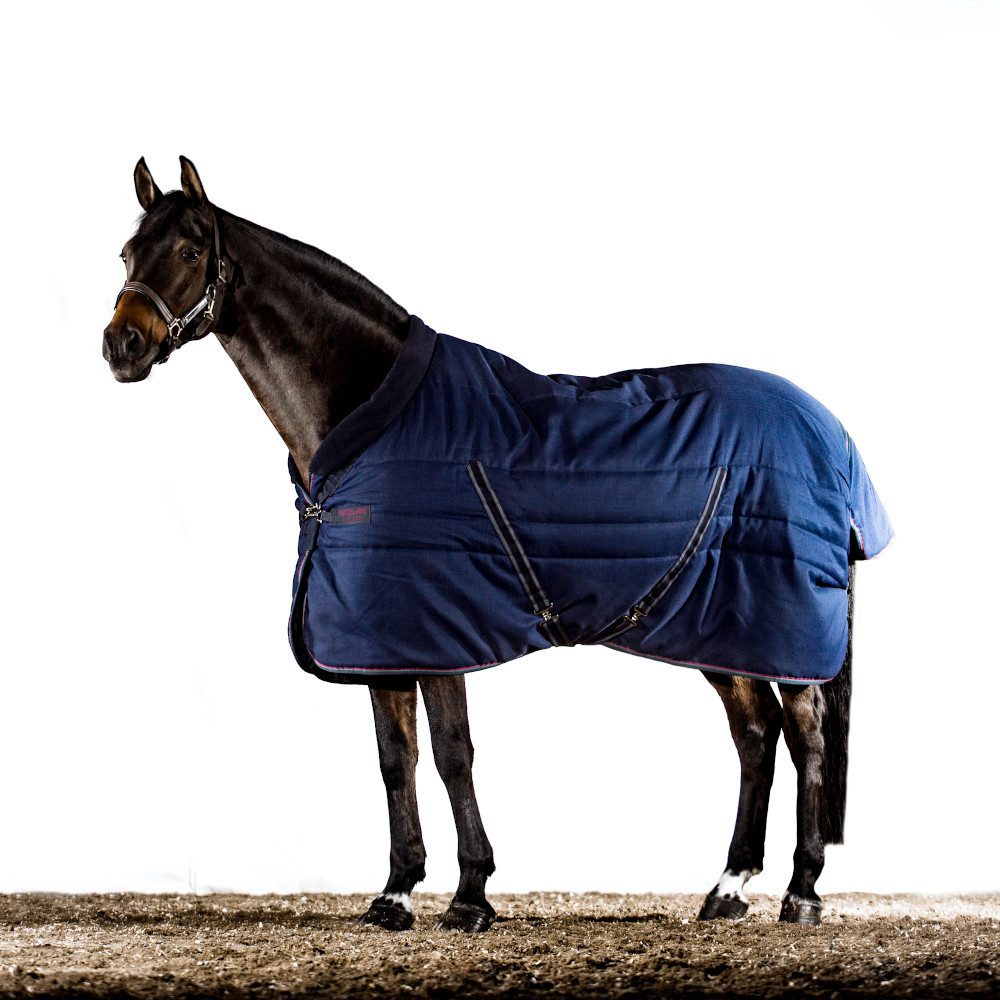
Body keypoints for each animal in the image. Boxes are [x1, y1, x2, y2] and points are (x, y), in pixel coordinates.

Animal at [103, 156, 889, 932]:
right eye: (127, 252)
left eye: (191, 249)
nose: (121, 345)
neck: (371, 417)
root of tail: (831, 432)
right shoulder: (384, 637)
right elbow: (396, 758)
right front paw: (395, 894)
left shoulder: (436, 627)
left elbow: (453, 754)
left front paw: (470, 895)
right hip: (718, 626)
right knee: (755, 734)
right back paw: (728, 888)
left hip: (778, 624)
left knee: (806, 736)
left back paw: (801, 893)